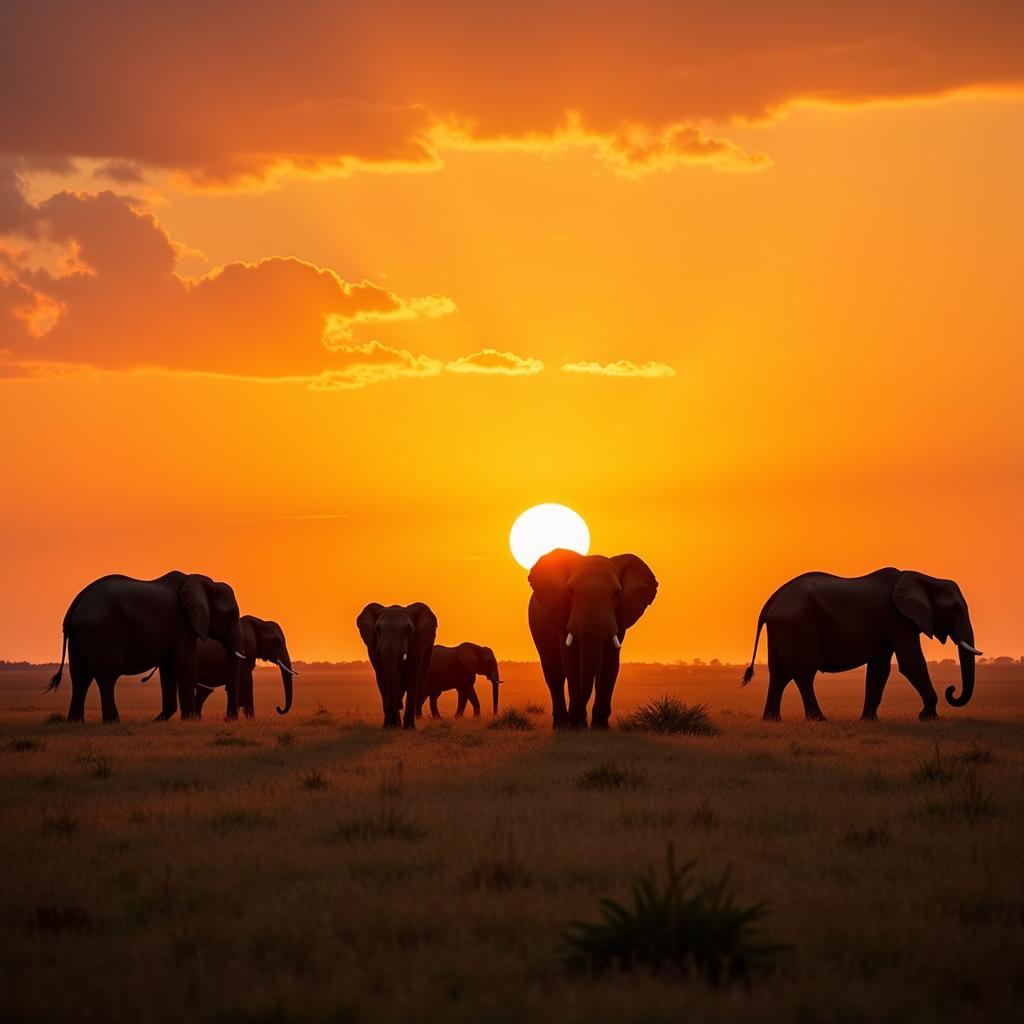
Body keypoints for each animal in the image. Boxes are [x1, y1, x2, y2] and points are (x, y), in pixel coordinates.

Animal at [46, 573, 243, 724]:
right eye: (231, 615)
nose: (229, 719)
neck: (200, 581)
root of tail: (75, 606)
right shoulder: (182, 624)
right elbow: (183, 663)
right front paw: (189, 720)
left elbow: (168, 668)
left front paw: (161, 720)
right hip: (102, 630)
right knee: (106, 676)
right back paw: (113, 722)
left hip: (79, 636)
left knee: (80, 676)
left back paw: (75, 722)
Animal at [356, 598, 436, 729]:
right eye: (378, 629)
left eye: (408, 630)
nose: (399, 705)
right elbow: (382, 677)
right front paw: (388, 727)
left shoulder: (417, 645)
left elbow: (412, 677)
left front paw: (408, 729)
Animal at [528, 552, 655, 729]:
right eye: (570, 591)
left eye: (616, 593)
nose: (579, 719)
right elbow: (573, 663)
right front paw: (577, 725)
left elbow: (610, 663)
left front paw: (600, 726)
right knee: (555, 676)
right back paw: (561, 725)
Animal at [745, 565, 983, 724]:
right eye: (956, 609)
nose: (951, 689)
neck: (925, 579)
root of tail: (770, 603)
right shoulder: (898, 619)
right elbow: (911, 663)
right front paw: (928, 717)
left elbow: (880, 668)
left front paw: (869, 720)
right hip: (798, 625)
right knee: (803, 673)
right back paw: (819, 719)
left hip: (782, 628)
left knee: (779, 674)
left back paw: (771, 720)